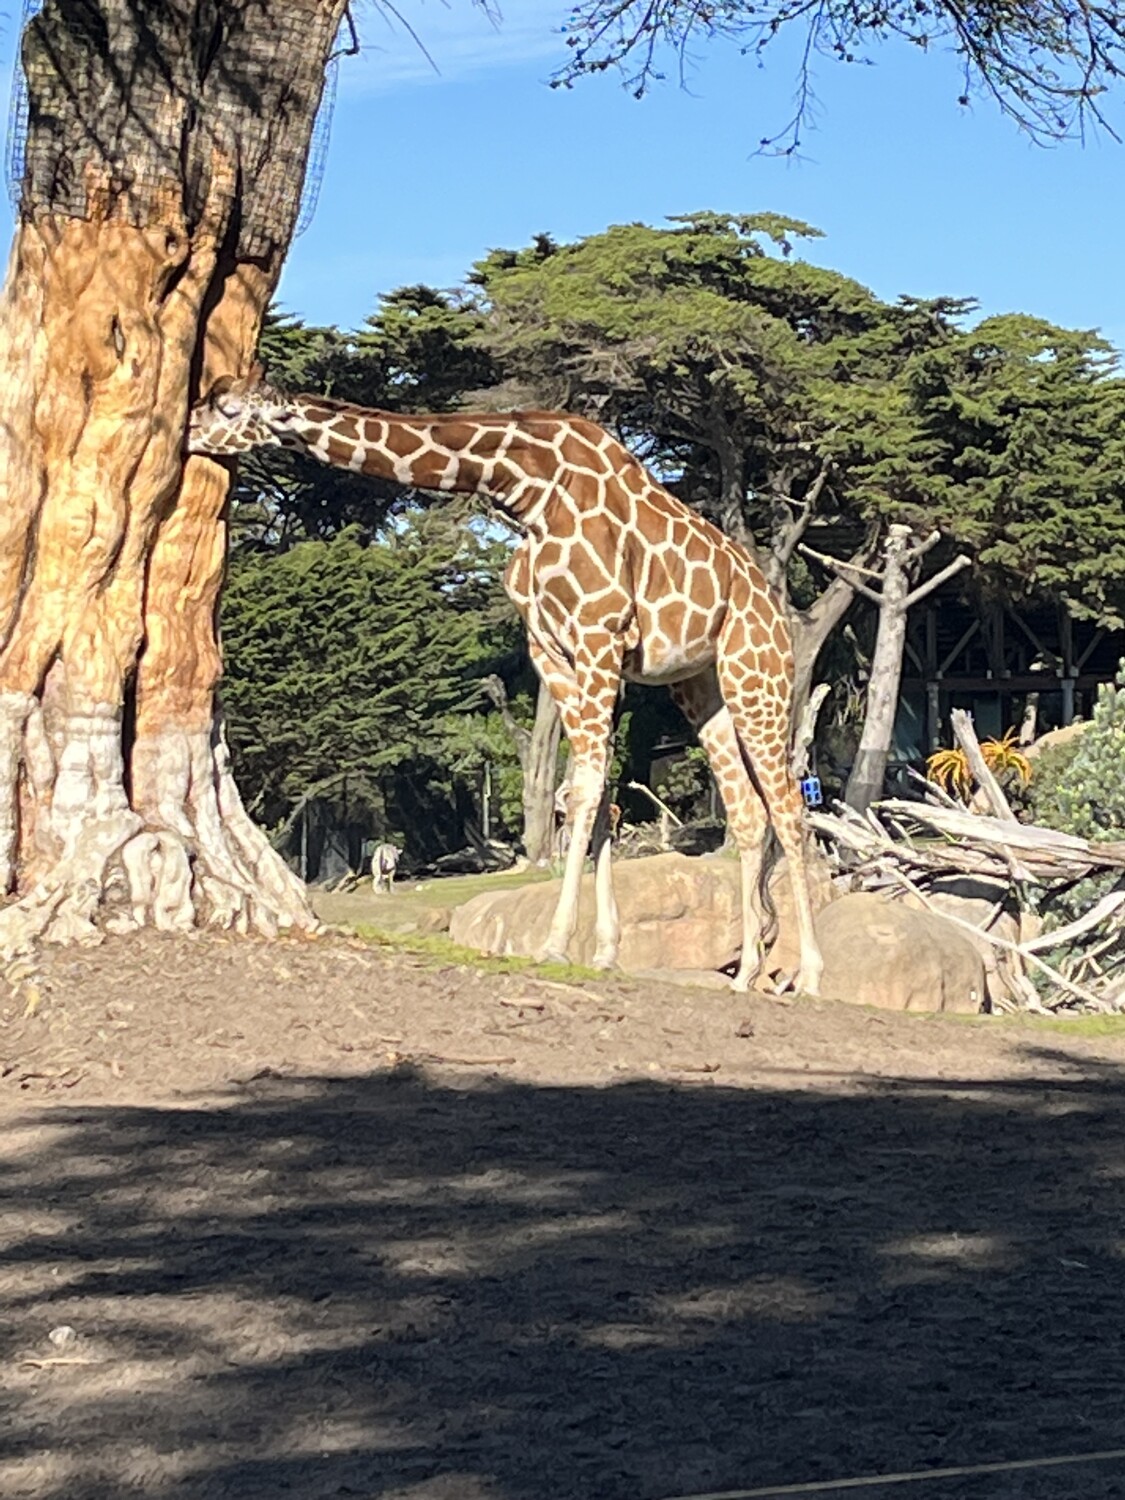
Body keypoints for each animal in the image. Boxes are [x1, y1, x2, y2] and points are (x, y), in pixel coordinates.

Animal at [188, 378, 825, 994]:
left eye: (227, 405)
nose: (186, 430)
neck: (527, 487)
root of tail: (772, 602)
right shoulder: (551, 650)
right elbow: (588, 794)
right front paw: (602, 951)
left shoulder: (599, 634)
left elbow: (586, 792)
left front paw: (556, 944)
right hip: (699, 686)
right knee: (748, 810)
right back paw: (746, 973)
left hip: (755, 671)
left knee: (790, 806)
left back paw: (810, 973)